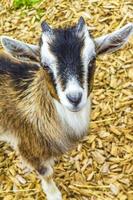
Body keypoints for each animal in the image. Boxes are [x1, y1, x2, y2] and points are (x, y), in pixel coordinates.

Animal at [0, 17, 133, 200]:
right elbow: (46, 172)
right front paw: (54, 194)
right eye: (44, 65)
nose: (74, 98)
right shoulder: (26, 146)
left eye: (92, 60)